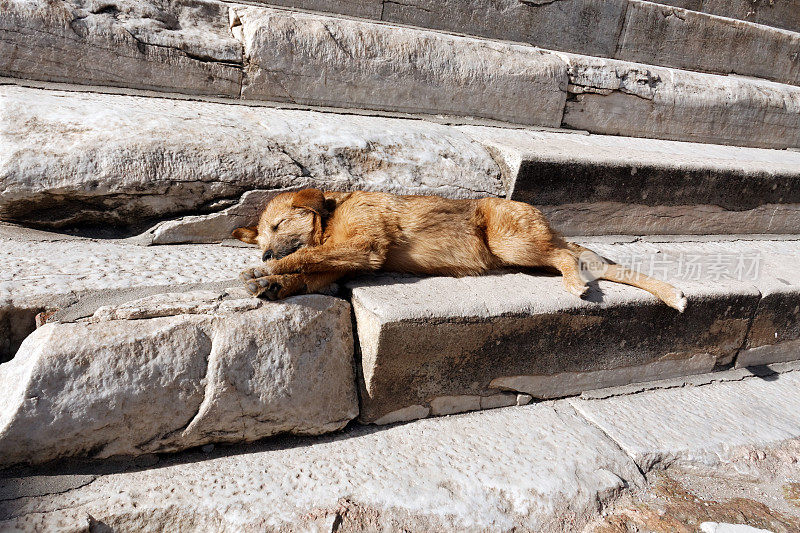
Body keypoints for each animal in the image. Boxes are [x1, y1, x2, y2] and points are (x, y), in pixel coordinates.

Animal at [231, 188, 688, 310]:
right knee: (591, 263)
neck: (331, 213)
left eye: (278, 226)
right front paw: (274, 284)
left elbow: (303, 256)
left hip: (511, 242)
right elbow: (309, 272)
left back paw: (574, 284)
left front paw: (265, 273)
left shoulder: (364, 246)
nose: (264, 255)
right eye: (262, 237)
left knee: (567, 258)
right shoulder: (347, 261)